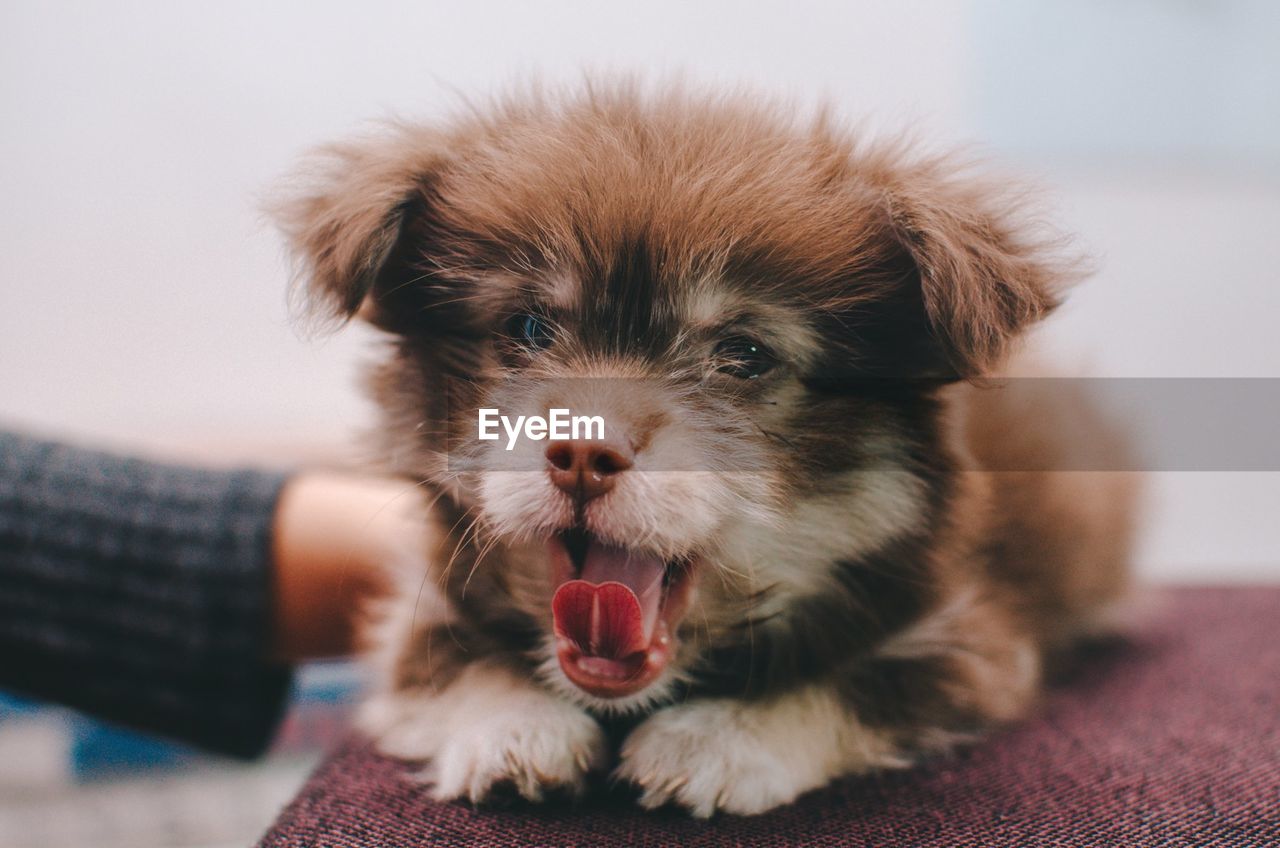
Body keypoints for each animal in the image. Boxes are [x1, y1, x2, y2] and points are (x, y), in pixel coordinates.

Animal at [275, 83, 1136, 819]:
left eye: (744, 354)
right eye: (528, 328)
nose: (582, 453)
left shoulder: (969, 639)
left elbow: (848, 681)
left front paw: (720, 737)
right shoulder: (411, 611)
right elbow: (447, 663)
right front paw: (512, 726)